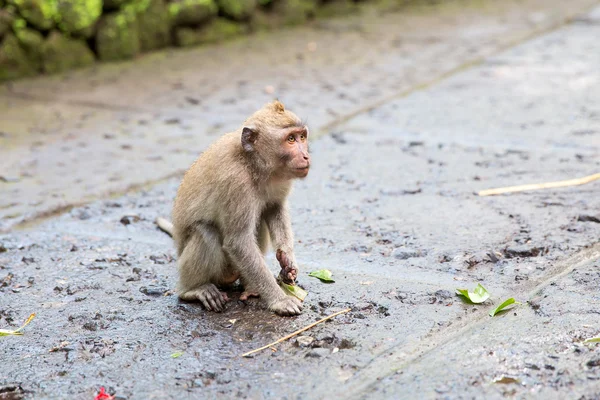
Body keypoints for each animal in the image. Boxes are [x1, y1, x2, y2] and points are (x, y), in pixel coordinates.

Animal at [158, 101, 310, 316]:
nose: (306, 156)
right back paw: (193, 289)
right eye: (290, 139)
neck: (253, 163)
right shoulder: (236, 183)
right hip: (218, 272)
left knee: (259, 220)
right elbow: (238, 242)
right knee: (206, 232)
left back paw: (251, 286)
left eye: (302, 137)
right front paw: (280, 300)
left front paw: (287, 260)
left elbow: (274, 208)